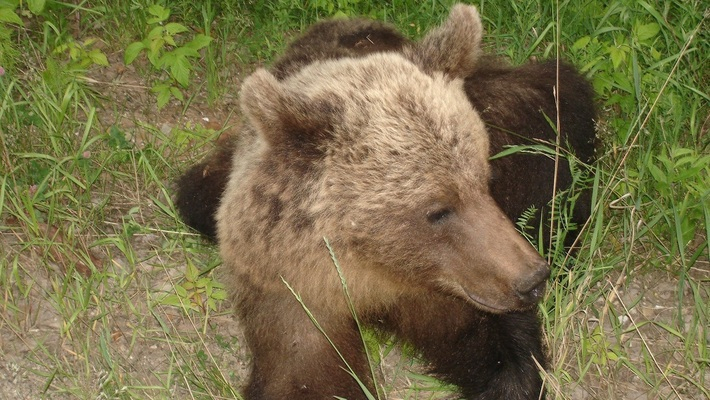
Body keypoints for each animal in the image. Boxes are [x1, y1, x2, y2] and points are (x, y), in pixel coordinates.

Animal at [175, 3, 596, 400]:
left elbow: (498, 348)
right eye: (437, 210)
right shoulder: (292, 291)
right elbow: (307, 376)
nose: (532, 279)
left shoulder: (447, 282)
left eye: (485, 182)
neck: (371, 271)